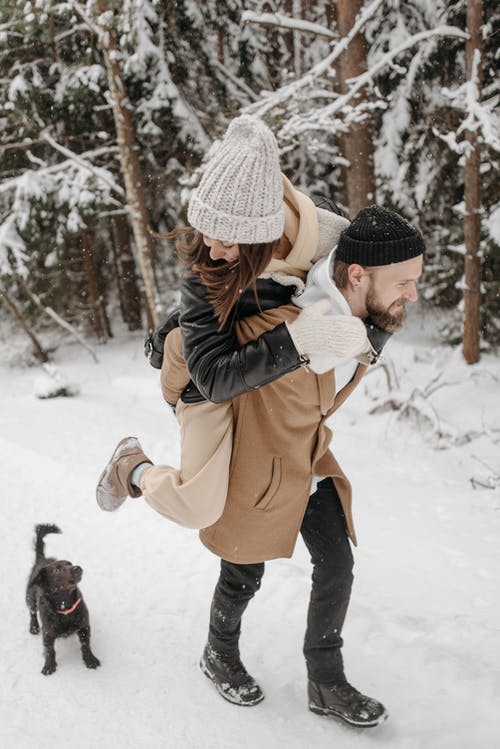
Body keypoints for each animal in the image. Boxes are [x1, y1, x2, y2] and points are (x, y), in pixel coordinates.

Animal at [26, 524, 100, 676]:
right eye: (57, 569)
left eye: (69, 563)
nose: (78, 568)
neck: (64, 606)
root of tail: (41, 559)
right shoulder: (47, 633)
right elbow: (49, 650)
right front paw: (49, 666)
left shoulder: (84, 626)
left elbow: (86, 645)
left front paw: (90, 660)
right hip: (29, 597)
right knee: (32, 612)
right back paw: (34, 627)